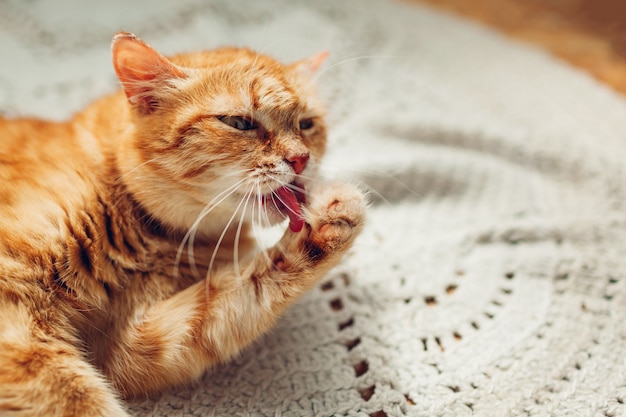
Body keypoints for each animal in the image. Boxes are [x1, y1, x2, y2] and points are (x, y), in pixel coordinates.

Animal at [0, 33, 366, 416]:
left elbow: (229, 300)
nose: (301, 159)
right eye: (239, 123)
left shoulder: (130, 347)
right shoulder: (14, 309)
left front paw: (329, 223)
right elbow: (75, 398)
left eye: (306, 124)